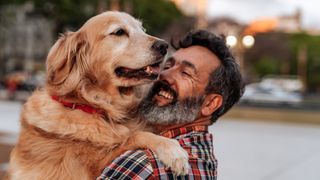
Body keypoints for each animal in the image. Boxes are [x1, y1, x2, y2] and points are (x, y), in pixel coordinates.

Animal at [7, 11, 189, 180]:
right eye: (119, 32)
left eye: (142, 29)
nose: (164, 46)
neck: (93, 106)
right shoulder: (89, 168)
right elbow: (134, 136)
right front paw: (174, 151)